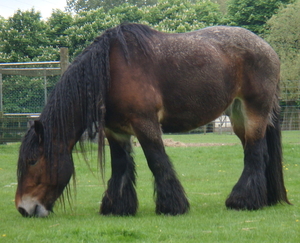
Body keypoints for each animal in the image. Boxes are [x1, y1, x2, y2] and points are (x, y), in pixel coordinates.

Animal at [15, 22, 290, 216]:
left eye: (32, 161)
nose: (22, 208)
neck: (110, 72)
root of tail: (268, 48)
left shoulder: (145, 123)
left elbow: (157, 161)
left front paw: (172, 206)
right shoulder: (115, 131)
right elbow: (120, 166)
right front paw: (117, 207)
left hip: (254, 112)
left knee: (254, 154)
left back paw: (243, 201)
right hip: (237, 116)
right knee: (259, 153)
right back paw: (264, 199)